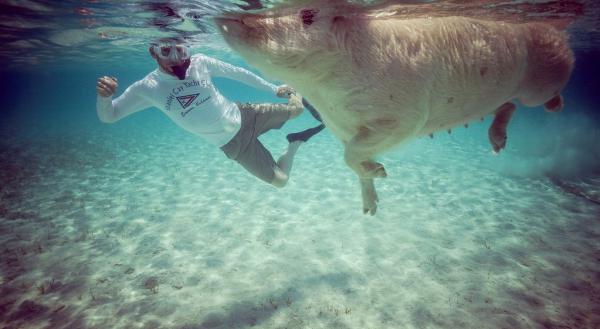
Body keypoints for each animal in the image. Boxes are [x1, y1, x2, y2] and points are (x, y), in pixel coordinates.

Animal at [213, 2, 576, 214]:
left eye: (308, 15)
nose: (226, 19)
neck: (321, 89)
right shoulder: (340, 124)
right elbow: (351, 156)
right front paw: (371, 205)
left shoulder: (404, 117)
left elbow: (355, 151)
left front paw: (381, 172)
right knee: (507, 105)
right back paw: (498, 146)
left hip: (542, 78)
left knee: (538, 95)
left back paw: (557, 107)